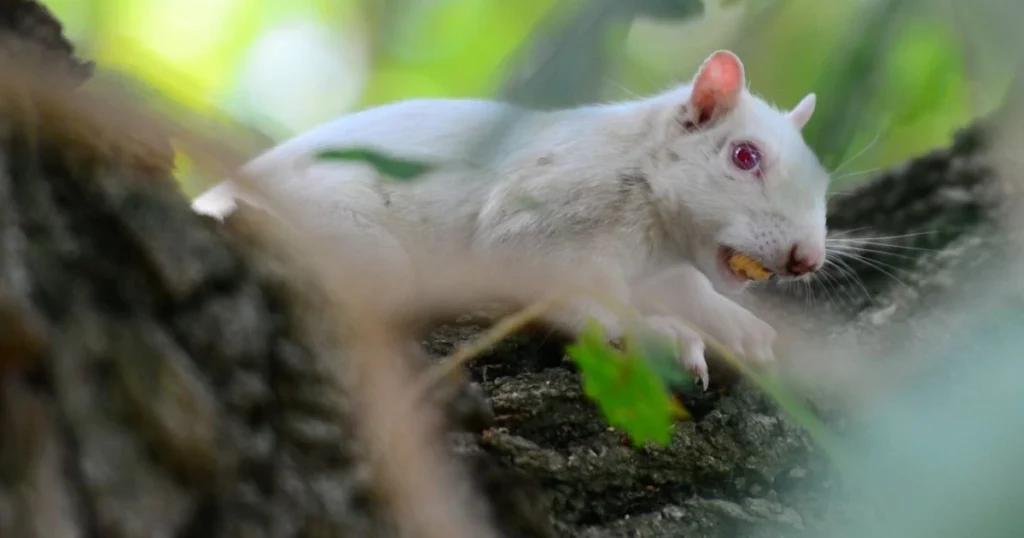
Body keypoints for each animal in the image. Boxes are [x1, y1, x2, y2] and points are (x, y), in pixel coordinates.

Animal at [193, 49, 831, 385]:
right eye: (744, 156)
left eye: (823, 178)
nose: (808, 258)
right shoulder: (549, 212)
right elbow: (573, 295)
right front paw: (657, 332)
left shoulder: (660, 263)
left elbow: (687, 287)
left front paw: (736, 324)